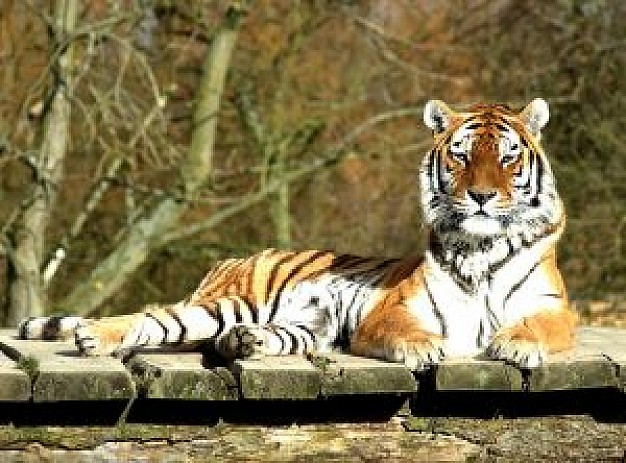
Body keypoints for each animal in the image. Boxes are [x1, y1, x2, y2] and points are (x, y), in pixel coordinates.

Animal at [18, 98, 576, 370]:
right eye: (461, 156)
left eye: (507, 157)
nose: (481, 195)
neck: (481, 247)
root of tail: (231, 260)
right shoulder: (392, 310)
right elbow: (407, 330)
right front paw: (423, 349)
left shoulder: (554, 309)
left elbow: (537, 326)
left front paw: (517, 345)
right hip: (229, 302)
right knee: (153, 319)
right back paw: (94, 335)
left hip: (307, 325)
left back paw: (243, 343)